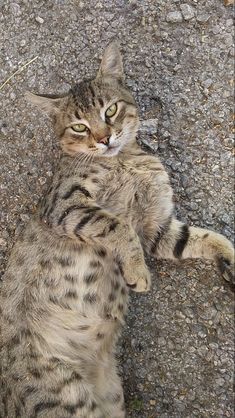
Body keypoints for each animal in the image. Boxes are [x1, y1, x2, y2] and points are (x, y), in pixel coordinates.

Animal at [0, 43, 234, 418]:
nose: (104, 139)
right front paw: (137, 271)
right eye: (79, 127)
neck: (125, 160)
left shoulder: (157, 227)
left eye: (110, 110)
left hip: (109, 399)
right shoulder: (64, 205)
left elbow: (202, 237)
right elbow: (117, 224)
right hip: (66, 399)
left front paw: (230, 258)